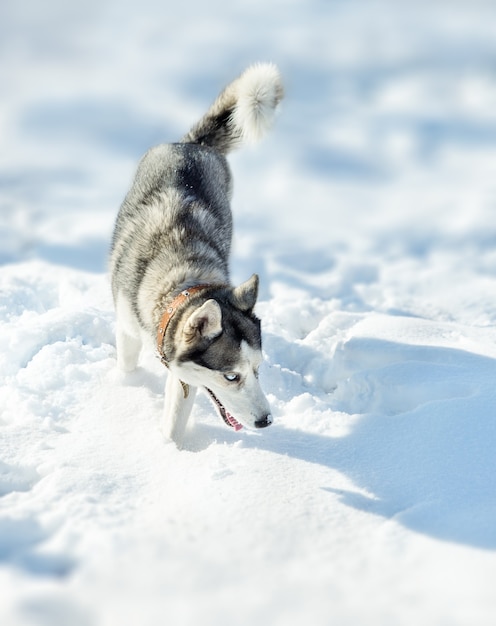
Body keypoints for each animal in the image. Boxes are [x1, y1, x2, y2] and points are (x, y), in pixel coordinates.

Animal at [111, 63, 284, 444]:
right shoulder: (128, 326)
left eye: (258, 369)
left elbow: (175, 419)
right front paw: (127, 387)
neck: (183, 281)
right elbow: (127, 363)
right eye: (231, 376)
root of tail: (191, 145)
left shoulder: (180, 372)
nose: (266, 422)